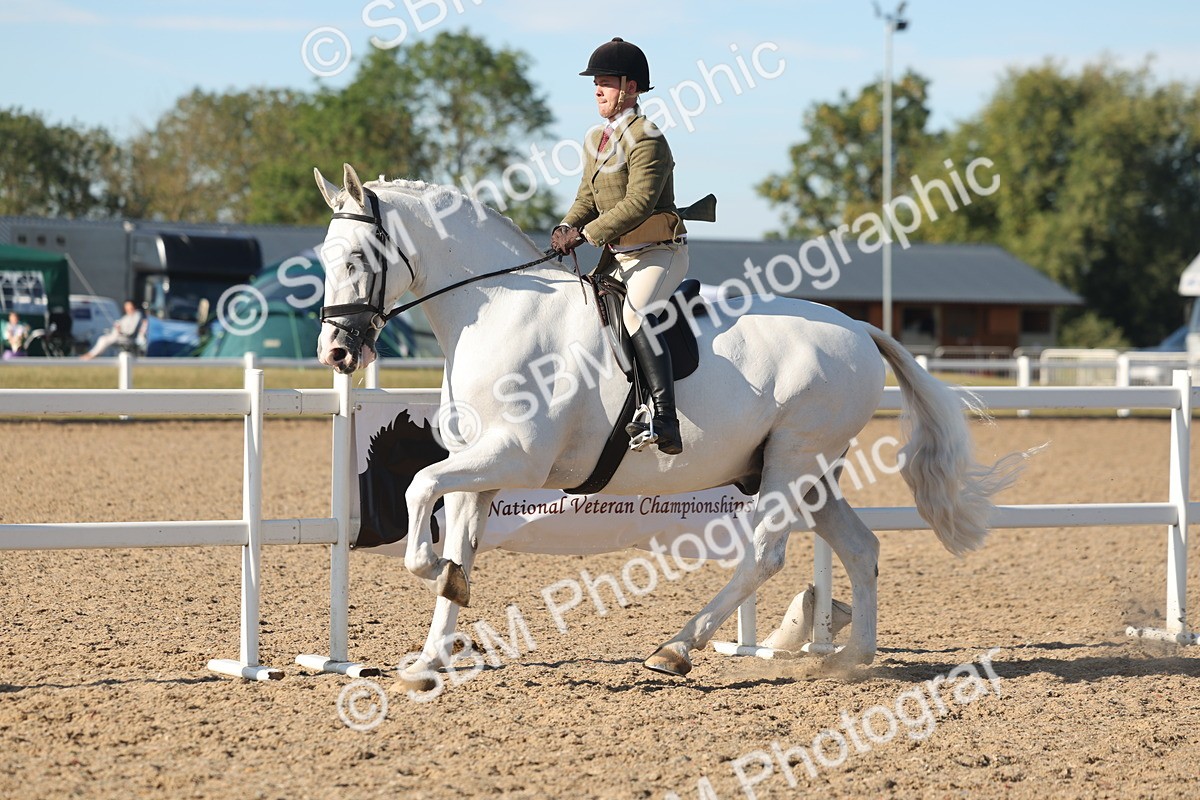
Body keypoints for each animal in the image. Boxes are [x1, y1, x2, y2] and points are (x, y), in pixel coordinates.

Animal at [313, 163, 1019, 681]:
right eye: (323, 256)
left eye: (356, 259)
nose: (337, 353)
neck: (499, 312)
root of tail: (860, 328)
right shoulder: (480, 466)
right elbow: (454, 534)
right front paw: (430, 654)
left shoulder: (516, 455)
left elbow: (418, 489)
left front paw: (432, 571)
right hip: (811, 474)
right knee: (861, 548)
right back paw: (851, 661)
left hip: (792, 461)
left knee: (764, 555)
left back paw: (676, 649)